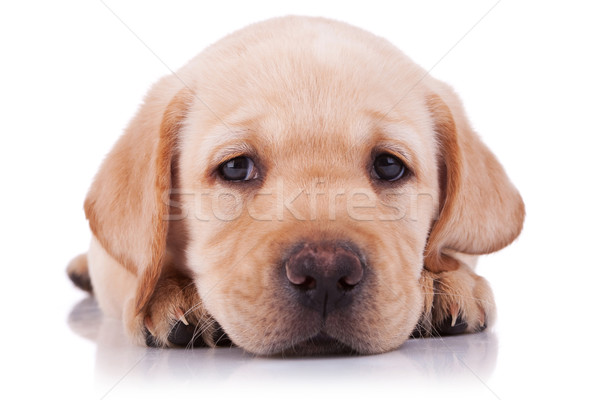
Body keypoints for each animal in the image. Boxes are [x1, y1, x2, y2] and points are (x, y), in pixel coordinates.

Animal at [67, 15, 524, 354]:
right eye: (236, 168)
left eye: (389, 166)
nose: (325, 273)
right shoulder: (116, 263)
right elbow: (137, 269)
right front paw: (170, 293)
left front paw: (448, 280)